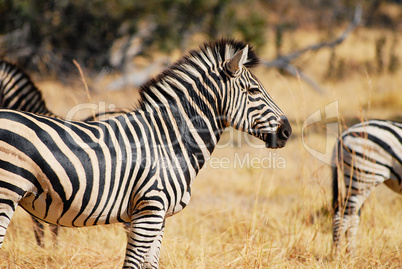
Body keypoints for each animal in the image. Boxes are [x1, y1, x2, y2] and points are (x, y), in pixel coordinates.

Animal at [0, 38, 290, 266]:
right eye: (253, 90)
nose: (287, 131)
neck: (169, 141)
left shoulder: (158, 217)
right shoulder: (149, 209)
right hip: (6, 193)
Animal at [332, 120, 402, 255]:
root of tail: (342, 136)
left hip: (359, 182)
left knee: (352, 217)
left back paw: (351, 255)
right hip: (363, 177)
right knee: (342, 217)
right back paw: (337, 256)